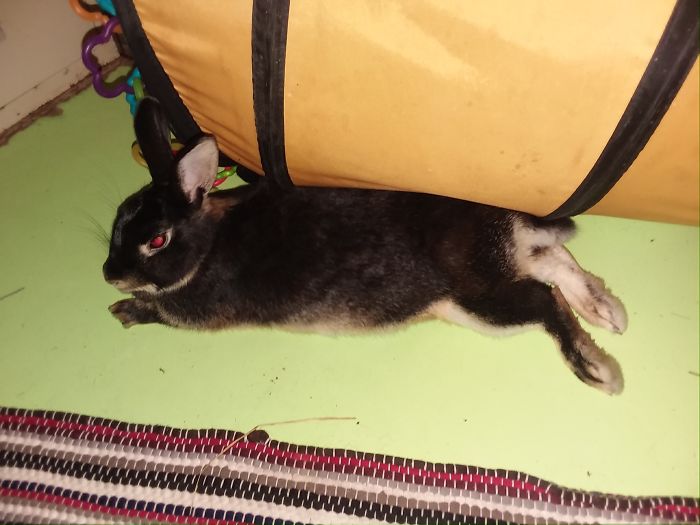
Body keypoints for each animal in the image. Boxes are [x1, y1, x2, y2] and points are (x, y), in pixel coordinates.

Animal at [104, 97, 628, 394]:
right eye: (118, 220)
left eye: (157, 240)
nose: (110, 274)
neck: (208, 243)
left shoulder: (195, 312)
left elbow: (161, 312)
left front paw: (125, 311)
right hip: (493, 273)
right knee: (556, 264)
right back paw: (608, 311)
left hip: (477, 300)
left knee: (544, 300)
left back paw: (599, 370)